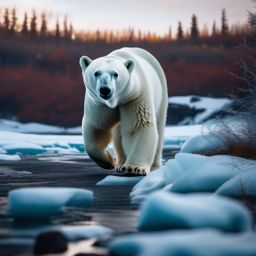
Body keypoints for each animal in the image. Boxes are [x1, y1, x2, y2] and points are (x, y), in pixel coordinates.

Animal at [80, 47, 168, 176]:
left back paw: (154, 167)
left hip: (161, 92)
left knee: (159, 127)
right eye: (96, 73)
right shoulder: (99, 104)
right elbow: (98, 128)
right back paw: (120, 164)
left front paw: (135, 168)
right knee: (118, 134)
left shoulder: (135, 97)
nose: (105, 89)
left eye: (115, 74)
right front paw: (110, 161)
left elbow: (139, 126)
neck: (116, 100)